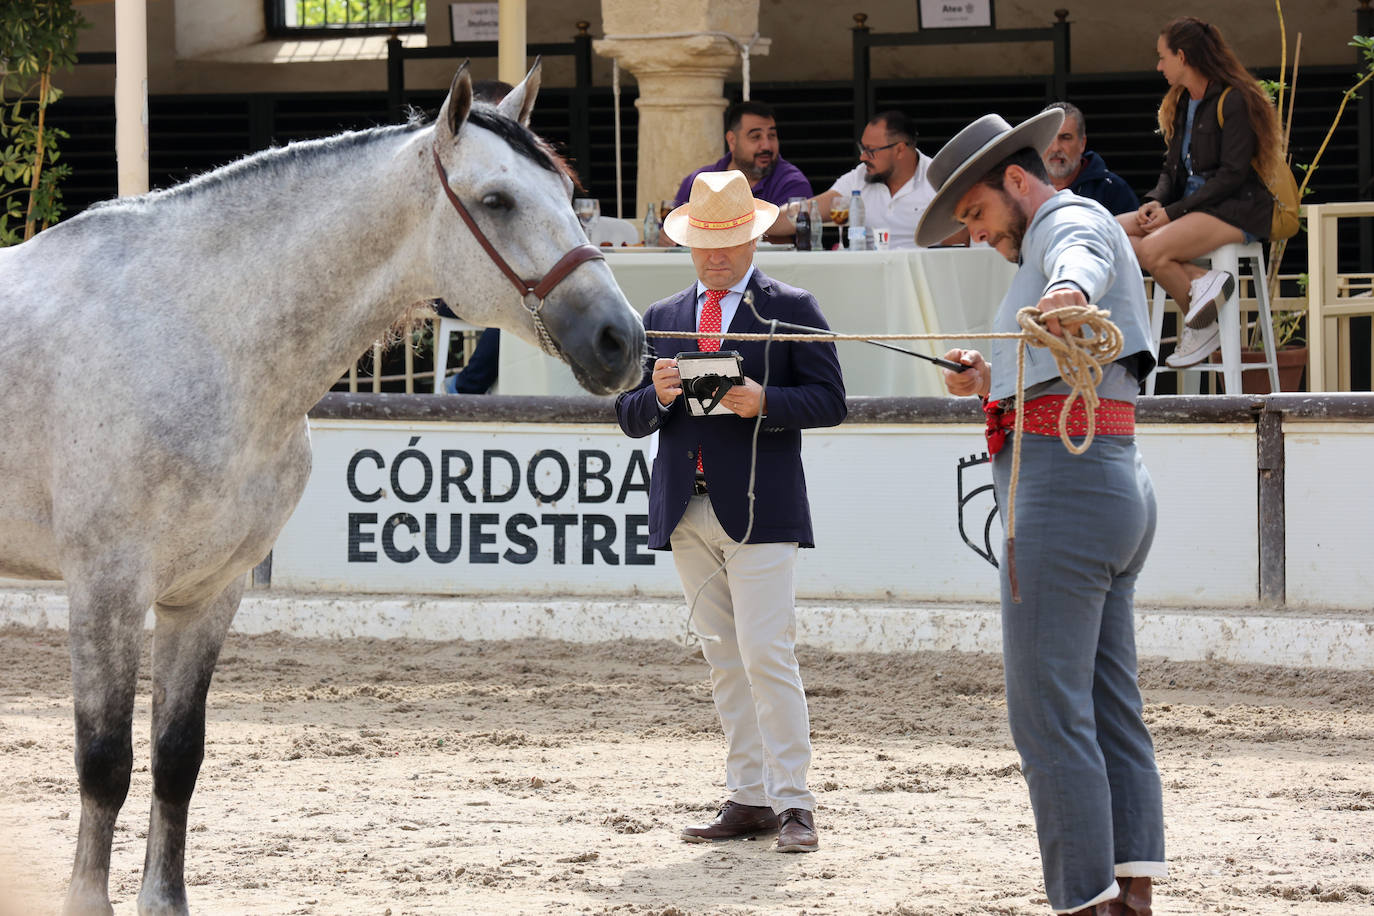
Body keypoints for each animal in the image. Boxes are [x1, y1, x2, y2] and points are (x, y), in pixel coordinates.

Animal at [0, 60, 643, 911]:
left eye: (569, 195)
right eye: (497, 201)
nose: (621, 339)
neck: (195, 334)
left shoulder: (209, 594)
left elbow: (176, 756)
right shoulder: (105, 589)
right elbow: (104, 764)